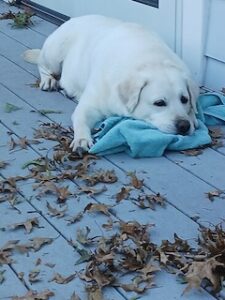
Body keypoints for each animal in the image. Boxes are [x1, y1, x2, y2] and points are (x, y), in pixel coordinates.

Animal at [23, 14, 199, 151]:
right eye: (159, 103)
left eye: (184, 99)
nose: (184, 126)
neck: (151, 59)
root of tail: (72, 19)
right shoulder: (90, 105)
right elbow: (80, 119)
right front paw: (82, 140)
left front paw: (193, 118)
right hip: (54, 53)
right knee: (43, 65)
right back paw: (48, 80)